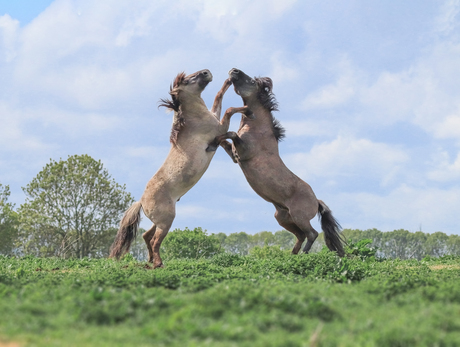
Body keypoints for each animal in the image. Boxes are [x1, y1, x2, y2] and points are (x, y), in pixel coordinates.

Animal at [109, 69, 248, 268]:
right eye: (188, 80)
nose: (207, 72)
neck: (193, 119)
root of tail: (141, 201)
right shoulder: (219, 126)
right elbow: (228, 111)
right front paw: (245, 109)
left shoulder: (217, 126)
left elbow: (219, 99)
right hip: (166, 221)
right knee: (155, 240)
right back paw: (158, 263)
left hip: (159, 221)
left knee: (146, 236)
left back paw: (150, 261)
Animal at [208, 68, 344, 258]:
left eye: (251, 81)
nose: (233, 71)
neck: (257, 128)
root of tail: (316, 200)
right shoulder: (236, 157)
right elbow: (225, 139)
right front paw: (212, 142)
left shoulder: (244, 152)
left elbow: (232, 133)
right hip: (284, 218)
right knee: (301, 236)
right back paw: (291, 255)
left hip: (299, 216)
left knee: (312, 234)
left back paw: (302, 255)